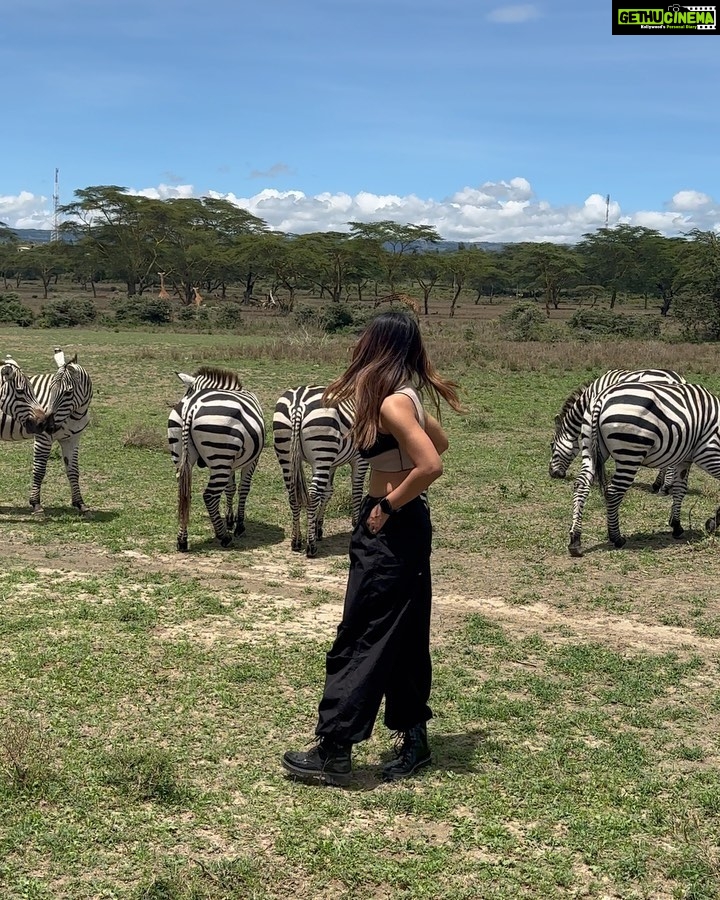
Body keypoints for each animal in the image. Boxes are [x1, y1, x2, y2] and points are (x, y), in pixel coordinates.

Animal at [0, 350, 93, 516]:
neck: (75, 414)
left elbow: (73, 471)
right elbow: (39, 470)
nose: (47, 425)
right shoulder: (43, 438)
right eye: (50, 390)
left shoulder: (72, 439)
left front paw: (80, 504)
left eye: (68, 392)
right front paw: (36, 504)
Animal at [168, 364, 264, 548]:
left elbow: (230, 488)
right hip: (221, 458)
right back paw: (224, 536)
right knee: (209, 496)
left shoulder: (232, 463)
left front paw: (230, 520)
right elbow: (243, 488)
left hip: (183, 455)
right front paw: (239, 525)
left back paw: (182, 540)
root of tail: (191, 407)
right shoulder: (252, 460)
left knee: (184, 493)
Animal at [272, 384, 368, 556]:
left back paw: (296, 540)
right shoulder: (359, 459)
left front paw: (318, 527)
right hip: (322, 450)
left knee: (294, 495)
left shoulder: (331, 463)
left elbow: (328, 492)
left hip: (286, 452)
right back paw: (311, 546)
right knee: (312, 495)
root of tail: (298, 404)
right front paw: (356, 523)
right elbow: (357, 492)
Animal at [552, 368, 688, 492]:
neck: (591, 395)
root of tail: (678, 379)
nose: (552, 474)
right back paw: (658, 484)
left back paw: (665, 486)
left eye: (551, 445)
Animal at [568, 382, 720, 564]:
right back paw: (616, 538)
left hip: (589, 448)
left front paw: (676, 525)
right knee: (613, 492)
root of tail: (601, 398)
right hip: (630, 452)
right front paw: (713, 522)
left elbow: (679, 490)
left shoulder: (685, 458)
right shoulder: (709, 452)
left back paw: (575, 540)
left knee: (581, 485)